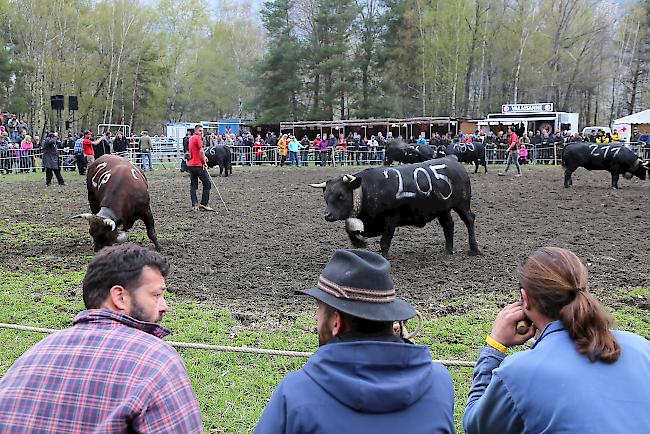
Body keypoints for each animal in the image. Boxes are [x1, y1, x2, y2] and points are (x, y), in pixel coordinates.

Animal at [306, 156, 478, 258]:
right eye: (325, 197)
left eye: (341, 195)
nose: (327, 215)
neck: (367, 190)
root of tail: (452, 160)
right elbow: (350, 229)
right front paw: (359, 243)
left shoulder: (390, 219)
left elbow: (384, 242)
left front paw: (383, 257)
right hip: (443, 209)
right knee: (448, 225)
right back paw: (448, 250)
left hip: (462, 203)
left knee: (469, 219)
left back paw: (474, 248)